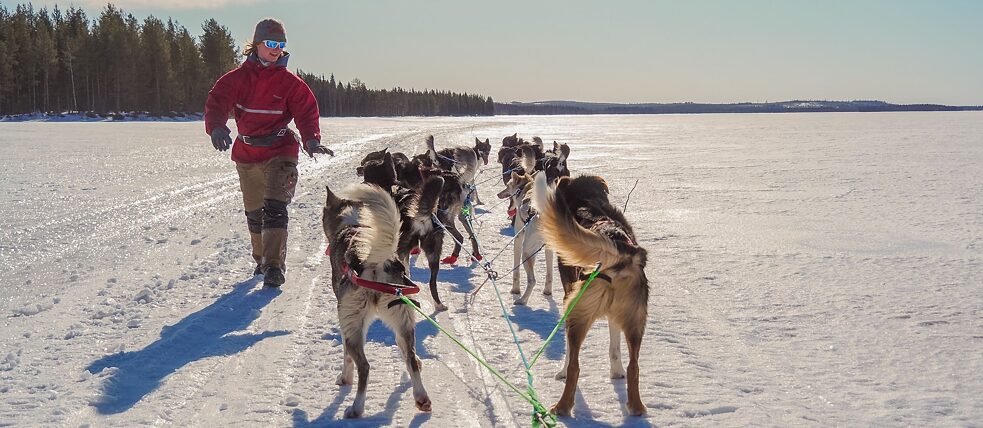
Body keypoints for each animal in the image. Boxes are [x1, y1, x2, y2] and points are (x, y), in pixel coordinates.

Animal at [322, 183, 430, 418]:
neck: (352, 224)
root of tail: (374, 261)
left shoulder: (345, 324)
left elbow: (346, 357)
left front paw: (344, 379)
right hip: (403, 319)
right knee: (411, 358)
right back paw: (422, 398)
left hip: (353, 326)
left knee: (364, 366)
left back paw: (356, 408)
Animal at [500, 171, 552, 304]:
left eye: (507, 185)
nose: (498, 194)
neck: (526, 188)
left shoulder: (518, 238)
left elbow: (516, 270)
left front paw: (515, 290)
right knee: (549, 275)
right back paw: (547, 291)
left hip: (526, 253)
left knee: (532, 281)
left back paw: (522, 300)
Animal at [536, 172, 648, 416]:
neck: (588, 202)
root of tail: (618, 251)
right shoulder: (616, 317)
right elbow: (615, 348)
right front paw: (615, 372)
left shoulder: (568, 297)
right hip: (635, 321)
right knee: (634, 366)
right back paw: (636, 407)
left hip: (575, 313)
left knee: (574, 365)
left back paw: (562, 407)